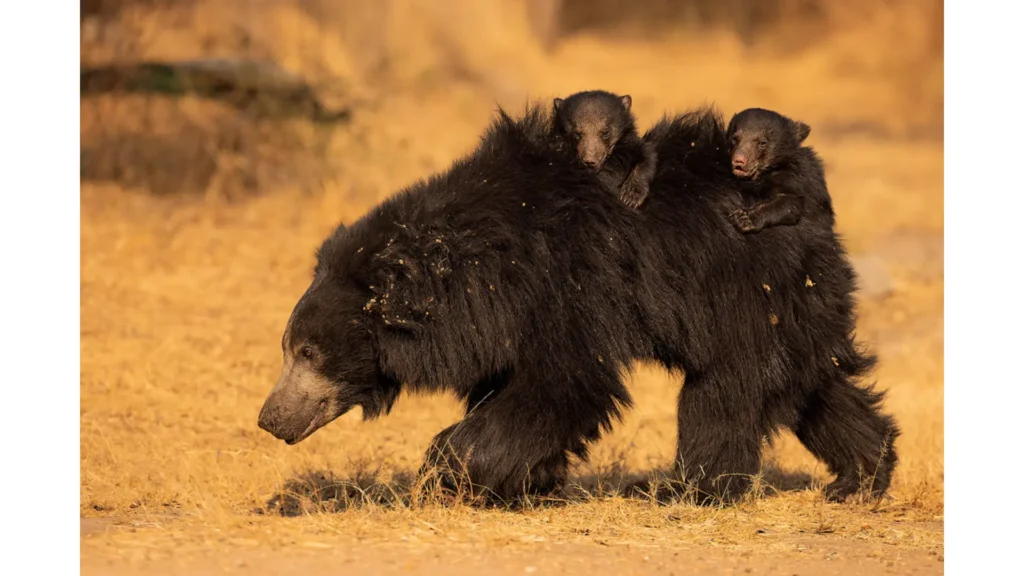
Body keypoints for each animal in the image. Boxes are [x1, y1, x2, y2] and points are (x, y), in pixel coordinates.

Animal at [256, 102, 900, 506]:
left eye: (309, 352)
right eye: (289, 348)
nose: (269, 419)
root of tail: (815, 212)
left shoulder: (565, 288)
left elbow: (563, 384)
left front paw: (451, 471)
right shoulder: (500, 320)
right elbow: (509, 383)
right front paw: (525, 484)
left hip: (746, 290)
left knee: (723, 392)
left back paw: (690, 490)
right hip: (792, 304)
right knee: (817, 384)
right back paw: (860, 477)